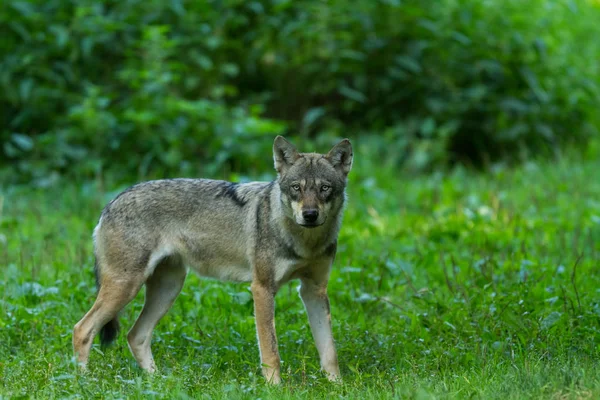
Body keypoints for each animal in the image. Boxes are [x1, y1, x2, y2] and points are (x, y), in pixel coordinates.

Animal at [71, 136, 352, 382]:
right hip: (127, 287)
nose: (310, 215)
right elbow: (271, 351)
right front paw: (275, 388)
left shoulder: (314, 290)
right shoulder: (262, 289)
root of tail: (111, 202)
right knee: (82, 329)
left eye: (325, 188)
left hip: (168, 288)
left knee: (135, 336)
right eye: (296, 188)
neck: (306, 242)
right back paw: (84, 383)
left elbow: (329, 350)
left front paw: (337, 386)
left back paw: (158, 382)